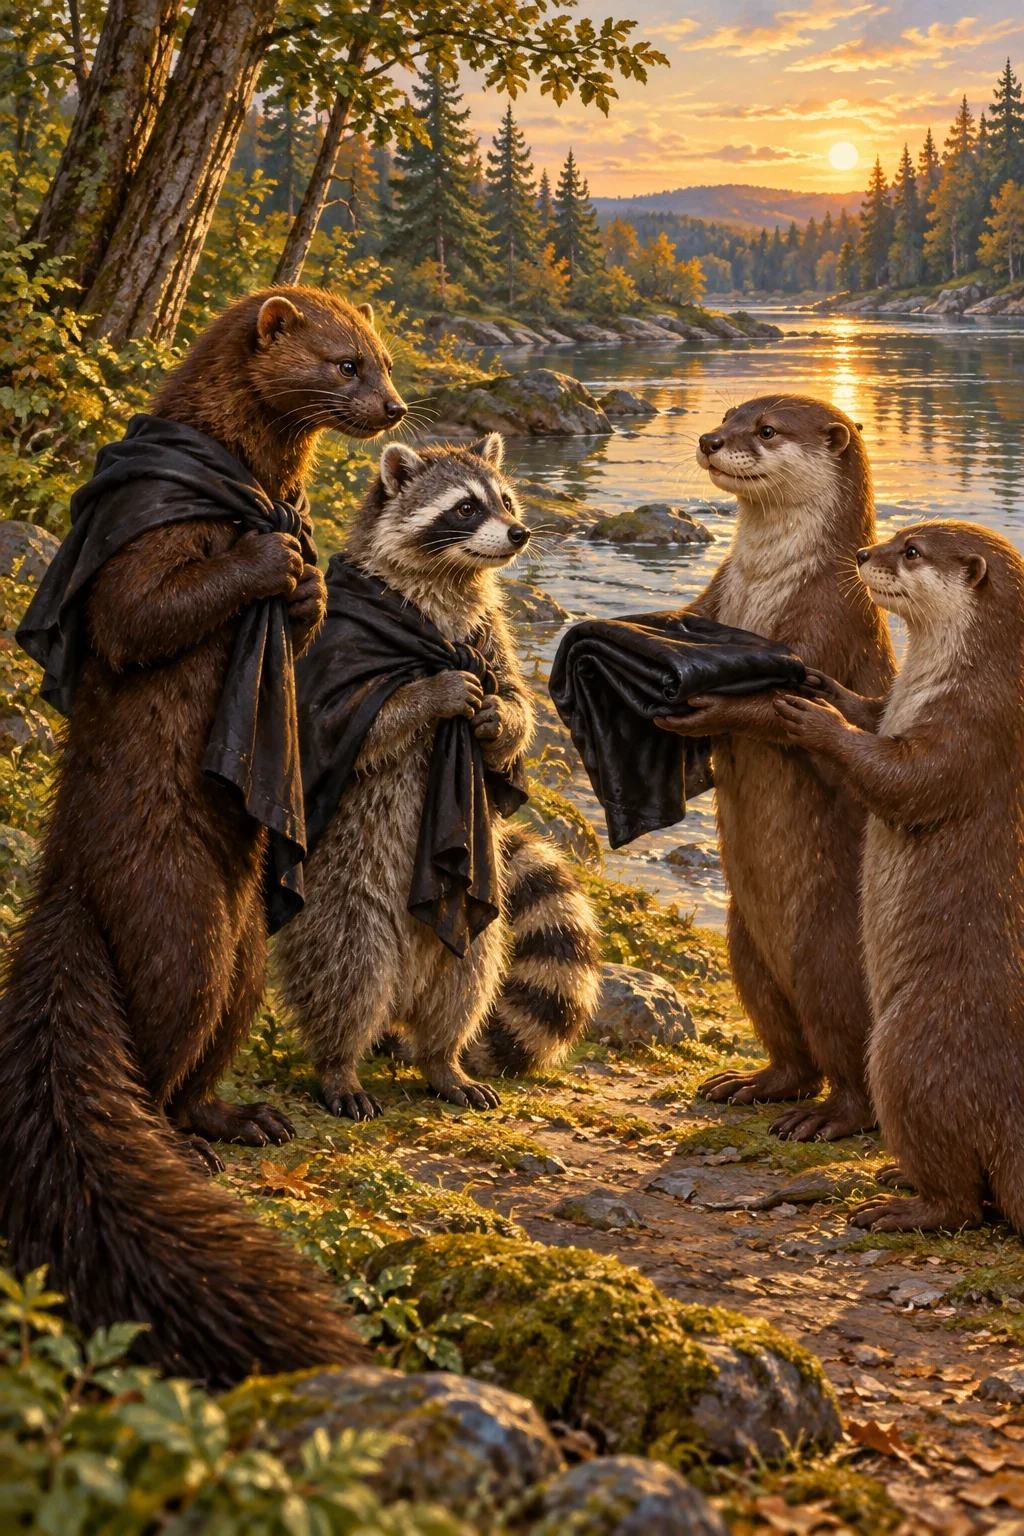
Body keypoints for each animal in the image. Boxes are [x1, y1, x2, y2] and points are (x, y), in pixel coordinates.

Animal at [0, 287, 407, 1385]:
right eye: (347, 364)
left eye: (387, 360)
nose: (396, 410)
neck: (252, 485)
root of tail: (65, 887)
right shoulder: (146, 534)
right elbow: (142, 615)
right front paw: (267, 557)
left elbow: (305, 616)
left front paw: (306, 581)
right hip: (176, 919)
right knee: (156, 1044)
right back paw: (187, 1149)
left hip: (247, 956)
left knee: (204, 1052)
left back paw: (242, 1118)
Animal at [275, 434, 600, 1118]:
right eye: (465, 508)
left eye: (507, 500)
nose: (520, 533)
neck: (447, 578)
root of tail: (400, 1002)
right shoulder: (339, 642)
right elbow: (369, 729)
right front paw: (430, 694)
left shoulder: (490, 637)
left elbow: (518, 707)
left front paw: (499, 718)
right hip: (348, 895)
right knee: (346, 967)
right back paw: (339, 1064)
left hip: (476, 910)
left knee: (468, 973)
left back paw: (442, 1058)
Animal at [656, 395, 895, 1141]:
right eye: (729, 416)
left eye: (766, 430)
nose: (710, 439)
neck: (764, 589)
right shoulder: (716, 593)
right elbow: (686, 617)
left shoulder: (832, 615)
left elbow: (782, 701)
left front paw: (708, 710)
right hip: (744, 949)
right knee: (788, 1045)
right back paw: (749, 1083)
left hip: (830, 960)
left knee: (850, 1063)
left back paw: (825, 1119)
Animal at [775, 521, 1024, 1232]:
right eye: (898, 538)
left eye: (912, 552)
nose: (863, 555)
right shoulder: (896, 707)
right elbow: (872, 710)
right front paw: (823, 687)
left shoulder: (974, 729)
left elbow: (901, 780)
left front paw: (816, 719)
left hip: (909, 1051)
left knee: (962, 1202)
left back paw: (898, 1206)